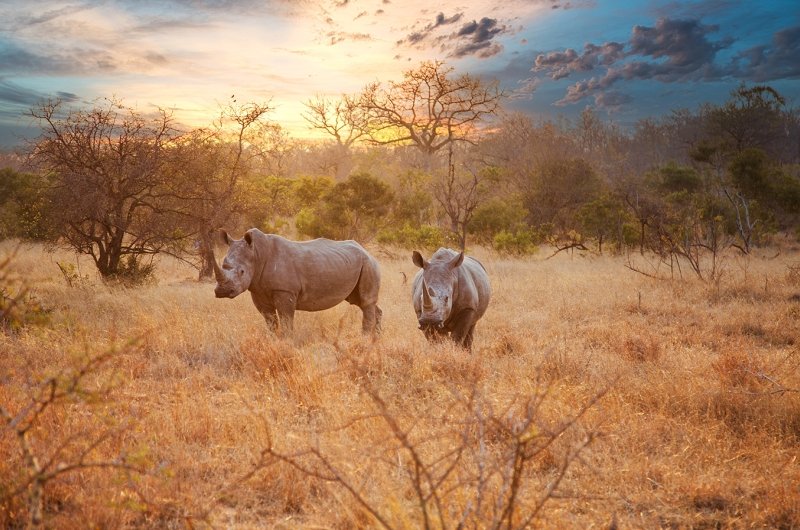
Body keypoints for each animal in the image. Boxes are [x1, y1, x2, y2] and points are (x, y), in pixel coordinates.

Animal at [213, 228, 382, 335]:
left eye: (242, 272)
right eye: (223, 265)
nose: (222, 291)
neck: (256, 254)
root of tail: (368, 252)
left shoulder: (285, 291)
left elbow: (286, 322)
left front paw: (286, 344)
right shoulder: (258, 290)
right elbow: (271, 322)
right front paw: (273, 341)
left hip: (368, 264)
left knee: (366, 302)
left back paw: (364, 339)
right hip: (354, 264)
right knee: (359, 301)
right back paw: (376, 339)